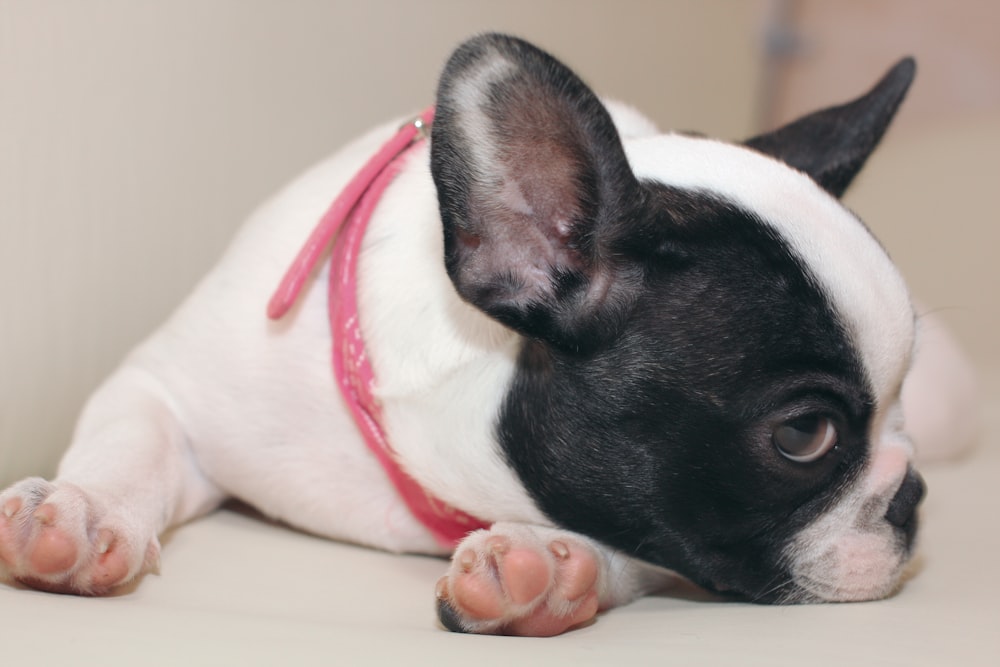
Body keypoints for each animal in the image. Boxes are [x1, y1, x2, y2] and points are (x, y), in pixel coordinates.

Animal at [0, 35, 968, 636]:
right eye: (805, 433)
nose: (912, 495)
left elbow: (635, 546)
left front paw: (552, 564)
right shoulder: (167, 387)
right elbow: (130, 442)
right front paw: (82, 510)